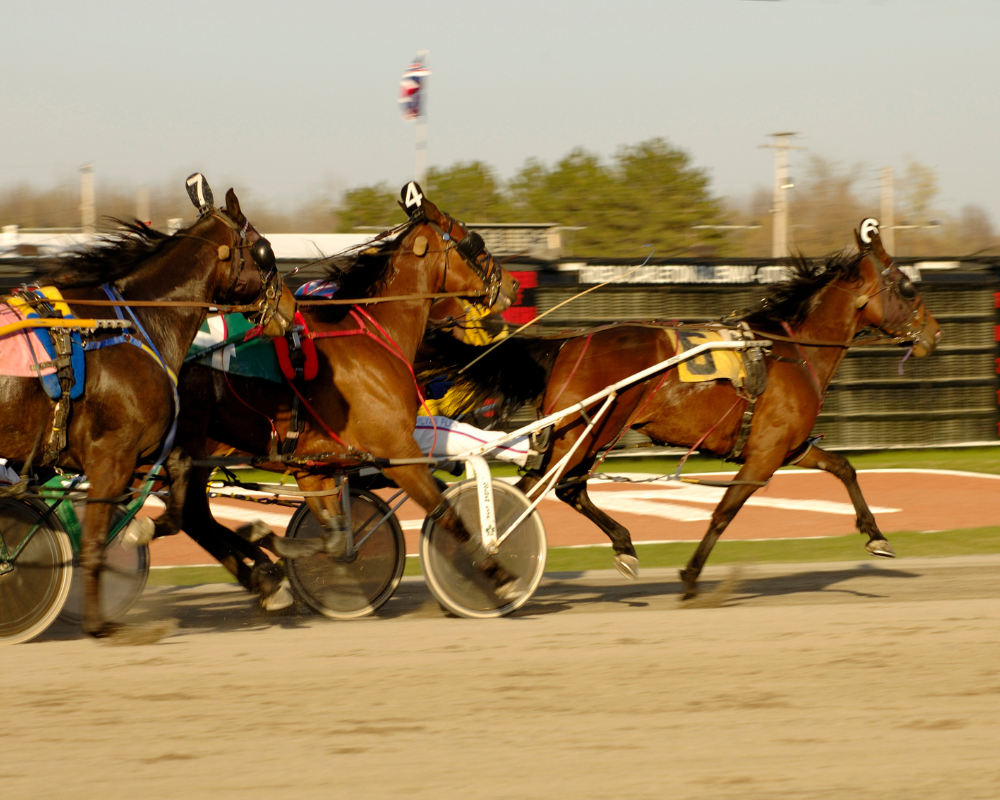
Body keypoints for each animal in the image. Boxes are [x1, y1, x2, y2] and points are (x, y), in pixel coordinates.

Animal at [0, 183, 294, 636]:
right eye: (265, 249)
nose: (291, 307)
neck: (134, 325)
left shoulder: (149, 445)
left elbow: (180, 487)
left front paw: (144, 527)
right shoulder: (111, 455)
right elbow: (94, 542)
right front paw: (98, 624)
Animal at [160, 184, 520, 604]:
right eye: (474, 240)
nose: (511, 285)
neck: (376, 336)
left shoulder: (314, 466)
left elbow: (334, 536)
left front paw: (273, 542)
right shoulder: (400, 455)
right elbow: (446, 513)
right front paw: (500, 575)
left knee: (195, 516)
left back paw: (260, 571)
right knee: (191, 514)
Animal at [418, 222, 940, 596]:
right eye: (907, 288)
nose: (934, 333)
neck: (790, 349)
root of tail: (568, 344)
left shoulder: (787, 447)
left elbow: (844, 467)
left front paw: (876, 535)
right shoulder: (763, 457)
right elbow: (724, 512)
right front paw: (690, 576)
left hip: (584, 434)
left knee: (557, 489)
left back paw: (614, 547)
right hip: (588, 431)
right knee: (543, 491)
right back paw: (497, 559)